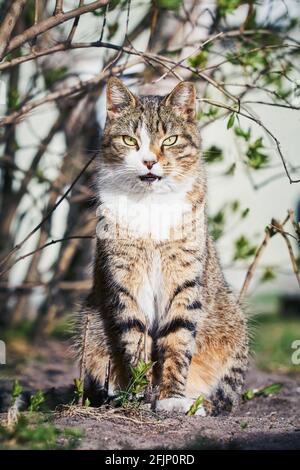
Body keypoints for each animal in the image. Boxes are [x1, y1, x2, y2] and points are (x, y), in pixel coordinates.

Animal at [75, 77, 248, 414]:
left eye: (170, 140)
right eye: (129, 140)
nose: (149, 160)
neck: (150, 203)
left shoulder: (183, 277)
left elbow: (178, 339)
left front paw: (171, 397)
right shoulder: (126, 278)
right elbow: (135, 338)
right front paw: (139, 394)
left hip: (232, 321)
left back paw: (195, 401)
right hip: (89, 323)